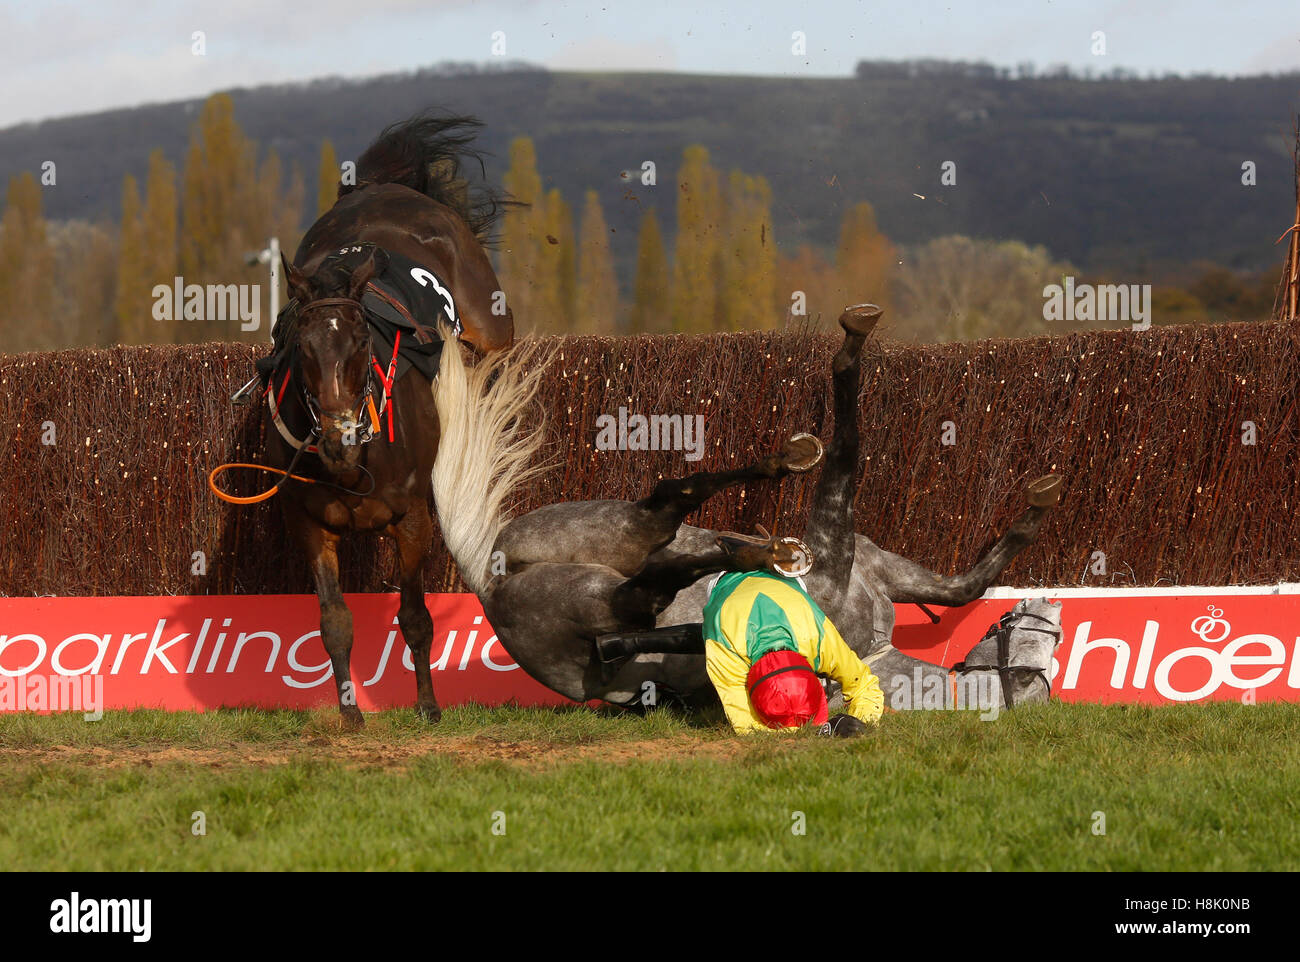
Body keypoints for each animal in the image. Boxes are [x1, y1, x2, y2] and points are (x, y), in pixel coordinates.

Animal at [267, 114, 512, 728]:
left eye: (361, 343)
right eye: (302, 346)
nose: (339, 441)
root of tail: (384, 186)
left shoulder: (412, 516)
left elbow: (416, 617)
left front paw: (427, 703)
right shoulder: (309, 522)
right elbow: (334, 621)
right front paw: (350, 711)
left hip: (489, 316)